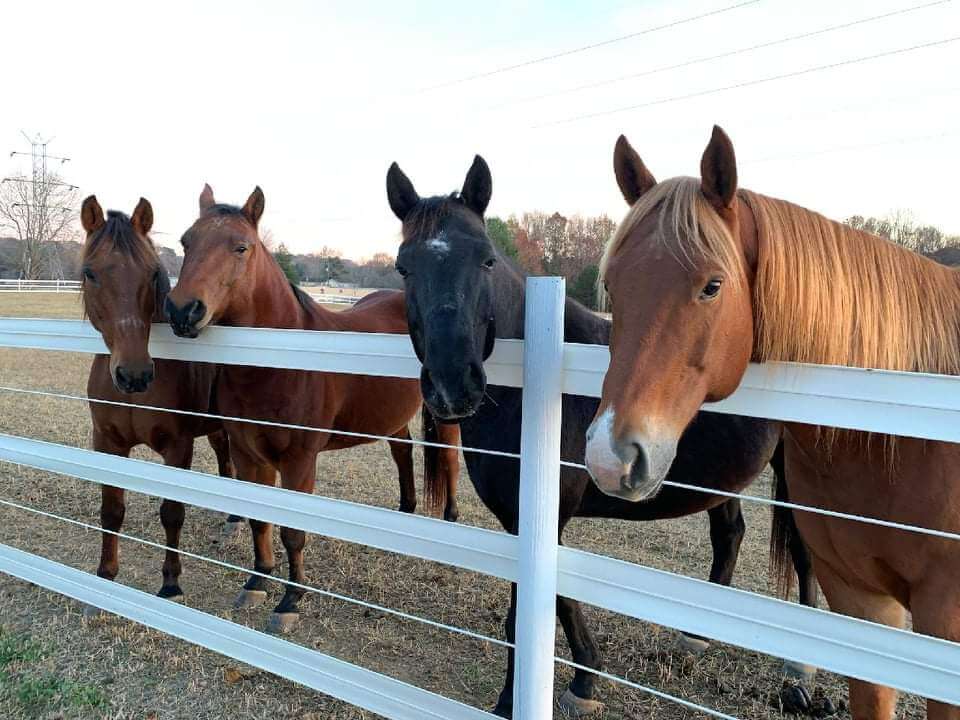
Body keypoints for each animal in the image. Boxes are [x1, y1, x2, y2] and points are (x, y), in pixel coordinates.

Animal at [79, 195, 239, 600]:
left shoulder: (177, 447)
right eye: (90, 273)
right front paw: (105, 576)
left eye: (152, 273)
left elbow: (171, 513)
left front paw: (171, 583)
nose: (134, 374)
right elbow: (111, 510)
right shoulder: (107, 443)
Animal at [164, 184, 462, 632]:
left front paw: (290, 601)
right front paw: (257, 582)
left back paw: (450, 525)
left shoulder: (299, 460)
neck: (281, 364)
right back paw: (404, 515)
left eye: (241, 247)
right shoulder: (248, 454)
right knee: (402, 452)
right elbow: (259, 519)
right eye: (186, 242)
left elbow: (293, 531)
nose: (183, 310)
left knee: (449, 460)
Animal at [384, 160, 816, 716]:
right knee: (730, 535)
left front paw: (540, 693)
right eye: (403, 267)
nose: (452, 385)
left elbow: (531, 609)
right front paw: (565, 684)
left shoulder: (545, 514)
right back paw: (694, 639)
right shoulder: (520, 519)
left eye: (486, 260)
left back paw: (800, 675)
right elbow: (546, 603)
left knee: (804, 554)